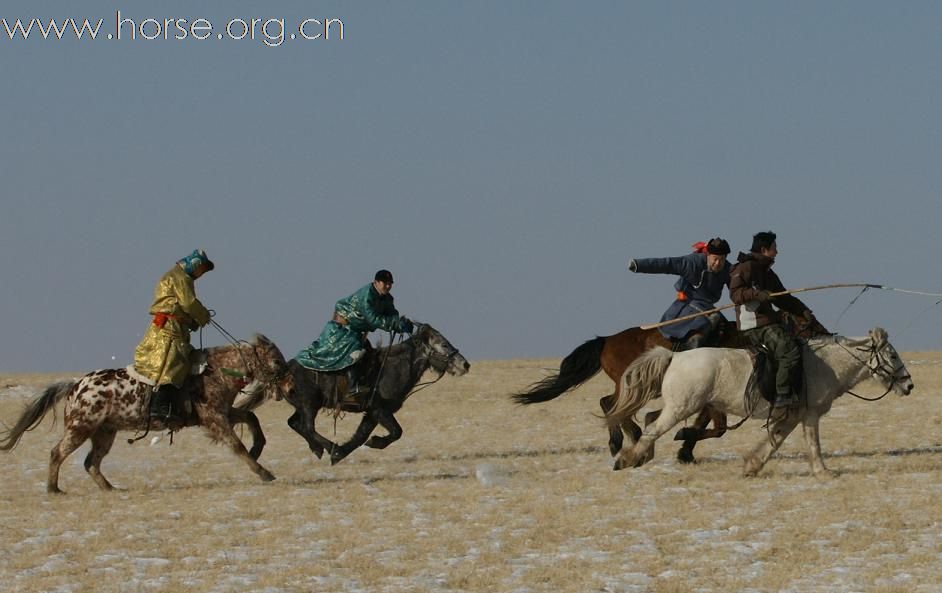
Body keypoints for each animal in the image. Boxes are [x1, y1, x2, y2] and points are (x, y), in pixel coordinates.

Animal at [0, 336, 296, 492]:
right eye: (276, 360)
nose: (290, 385)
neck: (216, 371)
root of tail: (75, 386)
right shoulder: (214, 418)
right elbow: (237, 445)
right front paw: (263, 472)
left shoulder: (221, 413)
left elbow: (251, 419)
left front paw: (259, 447)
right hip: (80, 428)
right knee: (57, 453)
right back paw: (54, 489)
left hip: (104, 433)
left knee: (91, 463)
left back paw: (111, 489)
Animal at [512, 314, 828, 462]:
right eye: (807, 320)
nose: (826, 333)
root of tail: (606, 339)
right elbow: (714, 427)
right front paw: (683, 444)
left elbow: (710, 426)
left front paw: (685, 451)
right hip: (634, 383)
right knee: (612, 405)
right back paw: (627, 437)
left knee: (608, 403)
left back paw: (624, 438)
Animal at [612, 328, 916, 476]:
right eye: (892, 355)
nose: (909, 384)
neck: (824, 364)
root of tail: (675, 356)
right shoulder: (810, 415)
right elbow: (813, 444)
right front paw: (824, 472)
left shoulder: (792, 416)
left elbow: (774, 441)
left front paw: (752, 466)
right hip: (682, 407)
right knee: (653, 428)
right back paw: (628, 459)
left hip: (679, 406)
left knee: (650, 420)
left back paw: (640, 455)